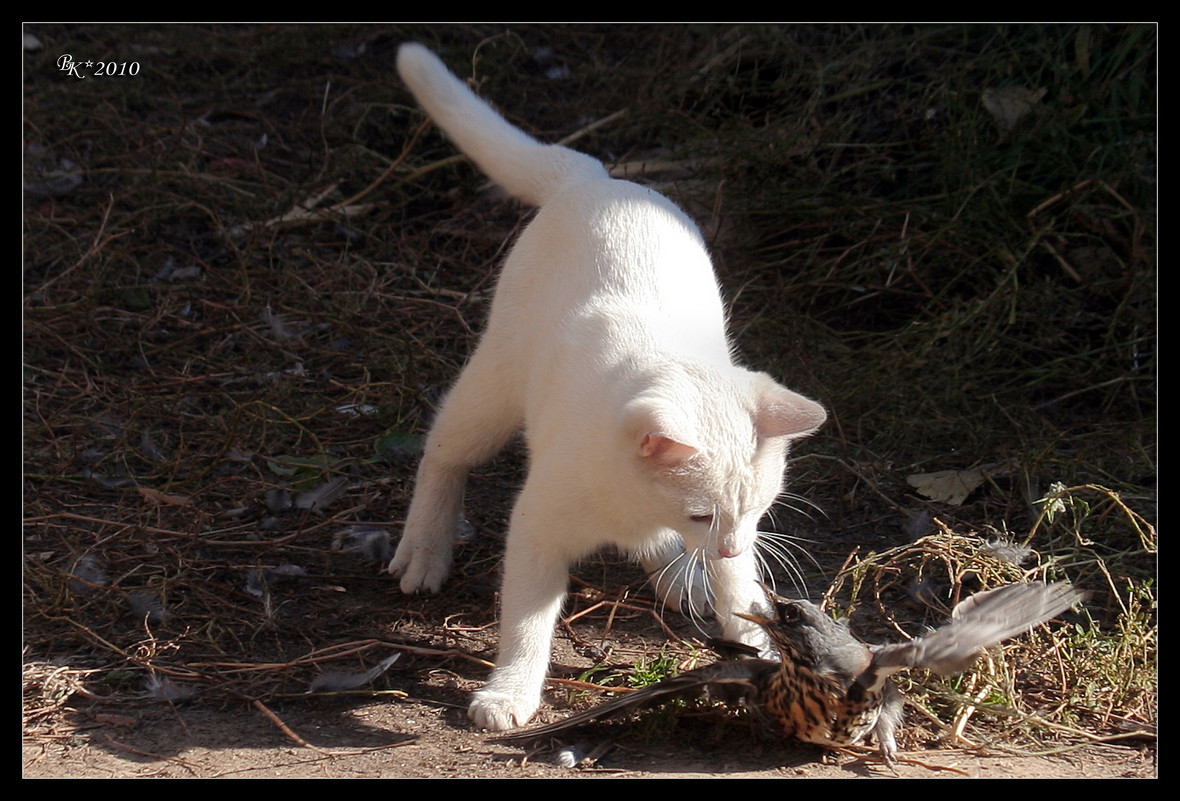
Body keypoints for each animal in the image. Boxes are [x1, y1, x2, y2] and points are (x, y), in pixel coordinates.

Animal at [391, 43, 825, 731]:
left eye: (759, 510)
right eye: (701, 512)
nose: (729, 546)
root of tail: (595, 177)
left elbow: (737, 589)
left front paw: (750, 632)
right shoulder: (536, 526)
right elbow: (527, 622)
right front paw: (510, 693)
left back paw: (679, 574)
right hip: (495, 384)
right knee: (443, 450)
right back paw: (424, 549)